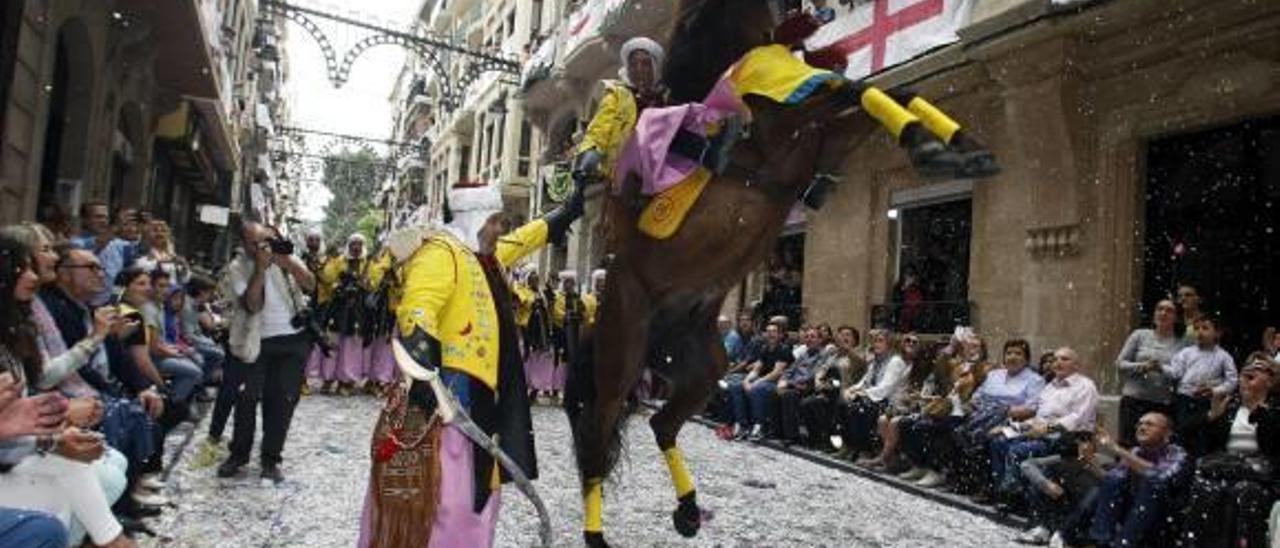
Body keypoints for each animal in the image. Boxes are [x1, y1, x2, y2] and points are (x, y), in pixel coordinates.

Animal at [560, 0, 988, 542]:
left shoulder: (811, 138)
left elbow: (884, 93)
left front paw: (954, 147)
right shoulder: (785, 126)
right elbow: (851, 89)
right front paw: (934, 145)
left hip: (702, 368)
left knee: (662, 425)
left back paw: (688, 510)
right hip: (623, 352)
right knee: (599, 434)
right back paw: (600, 533)